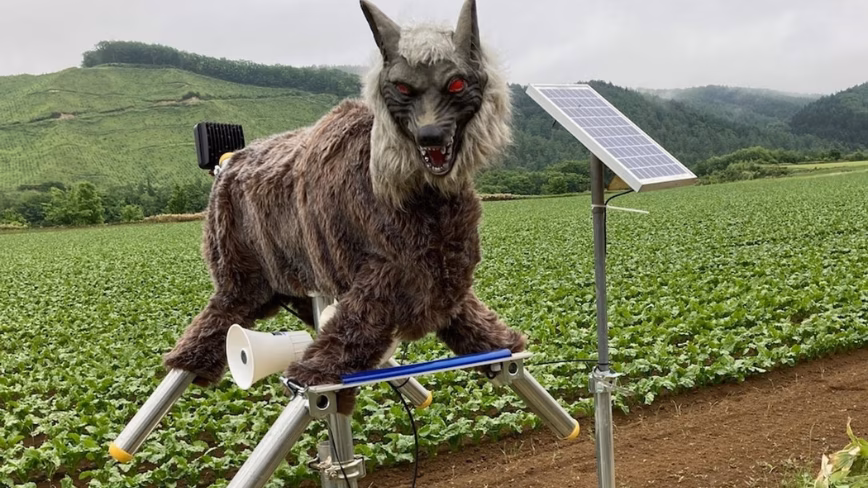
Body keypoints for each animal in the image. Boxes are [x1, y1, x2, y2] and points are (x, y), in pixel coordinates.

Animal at [163, 0, 526, 414]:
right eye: (403, 87)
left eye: (456, 84)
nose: (430, 135)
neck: (418, 198)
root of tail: (228, 163)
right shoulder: (381, 280)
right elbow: (346, 341)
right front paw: (314, 377)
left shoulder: (442, 282)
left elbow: (476, 326)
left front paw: (504, 343)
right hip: (238, 273)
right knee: (219, 317)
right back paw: (185, 362)